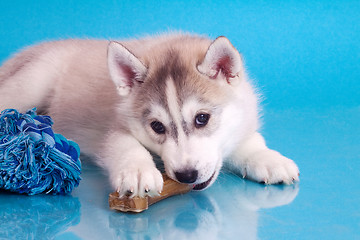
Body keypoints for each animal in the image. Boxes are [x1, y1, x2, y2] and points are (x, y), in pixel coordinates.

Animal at [0, 34, 298, 199]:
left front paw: (268, 159)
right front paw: (138, 171)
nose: (186, 175)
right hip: (31, 82)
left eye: (202, 118)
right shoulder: (114, 128)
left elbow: (249, 140)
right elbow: (125, 145)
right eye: (157, 126)